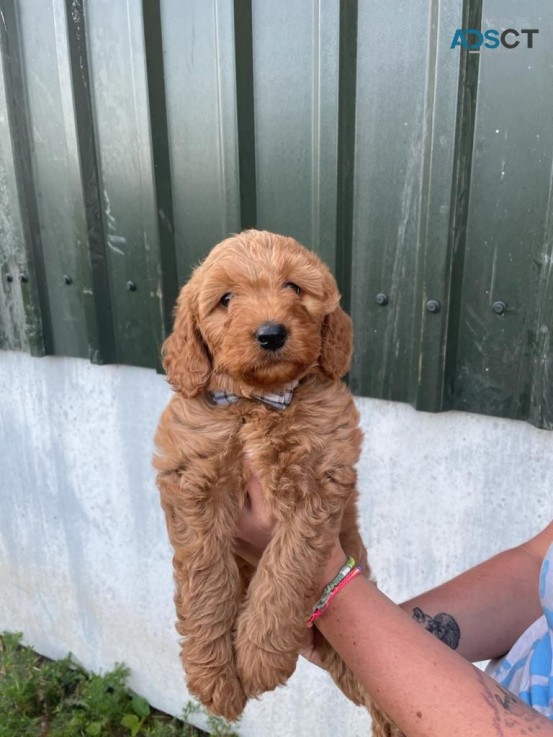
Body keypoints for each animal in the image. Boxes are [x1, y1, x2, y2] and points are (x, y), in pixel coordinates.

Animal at [153, 230, 390, 732]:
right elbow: (206, 578)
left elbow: (285, 571)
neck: (258, 403)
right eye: (226, 299)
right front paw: (215, 677)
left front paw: (259, 658)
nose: (271, 333)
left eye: (294, 288)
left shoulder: (318, 484)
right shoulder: (192, 480)